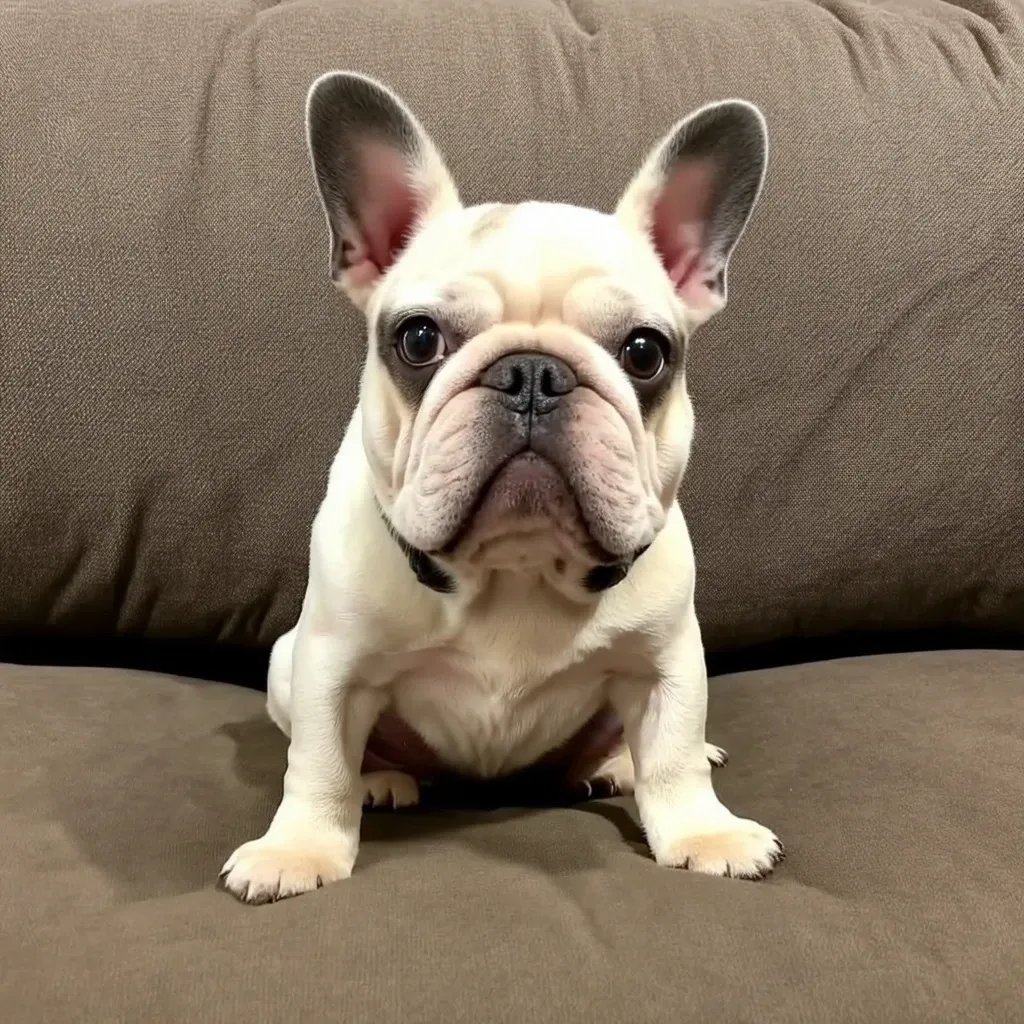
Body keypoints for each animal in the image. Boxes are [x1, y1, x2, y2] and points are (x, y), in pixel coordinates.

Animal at [222, 72, 782, 905]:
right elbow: (318, 765)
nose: (533, 374)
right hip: (286, 662)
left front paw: (703, 831)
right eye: (418, 339)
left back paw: (613, 764)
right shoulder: (330, 665)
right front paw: (298, 848)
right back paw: (381, 780)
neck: (514, 571)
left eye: (645, 352)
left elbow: (675, 757)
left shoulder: (667, 663)